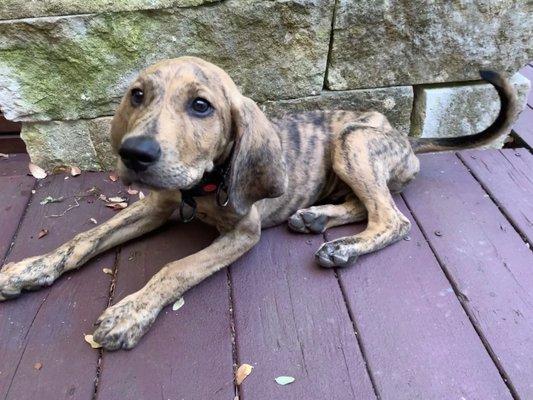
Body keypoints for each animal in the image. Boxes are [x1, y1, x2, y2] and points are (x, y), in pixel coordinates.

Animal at [0, 57, 516, 350]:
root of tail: (405, 136)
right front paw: (29, 268)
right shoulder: (158, 203)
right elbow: (85, 237)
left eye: (201, 106)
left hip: (353, 143)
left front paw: (130, 313)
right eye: (138, 95)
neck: (202, 186)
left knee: (392, 216)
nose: (135, 154)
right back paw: (316, 217)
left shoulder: (242, 234)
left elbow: (175, 269)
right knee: (365, 204)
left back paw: (343, 247)